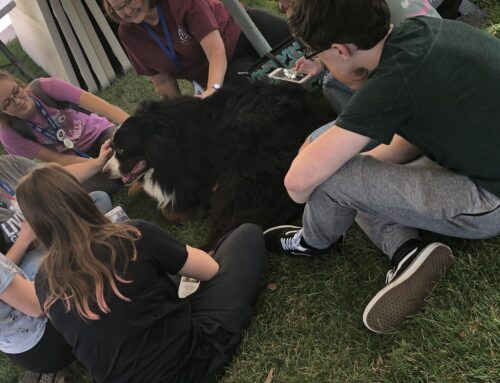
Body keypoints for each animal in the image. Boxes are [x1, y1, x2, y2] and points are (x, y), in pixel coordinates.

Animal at [102, 85, 336, 249]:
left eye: (121, 150)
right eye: (111, 147)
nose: (105, 171)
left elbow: (167, 210)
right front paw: (135, 188)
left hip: (241, 167)